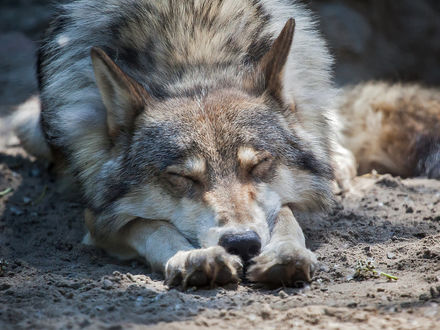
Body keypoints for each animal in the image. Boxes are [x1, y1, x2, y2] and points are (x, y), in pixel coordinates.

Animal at [12, 0, 440, 288]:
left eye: (259, 165)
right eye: (182, 178)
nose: (242, 243)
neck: (193, 57)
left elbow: (286, 214)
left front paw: (284, 254)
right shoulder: (97, 220)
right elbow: (151, 226)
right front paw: (194, 257)